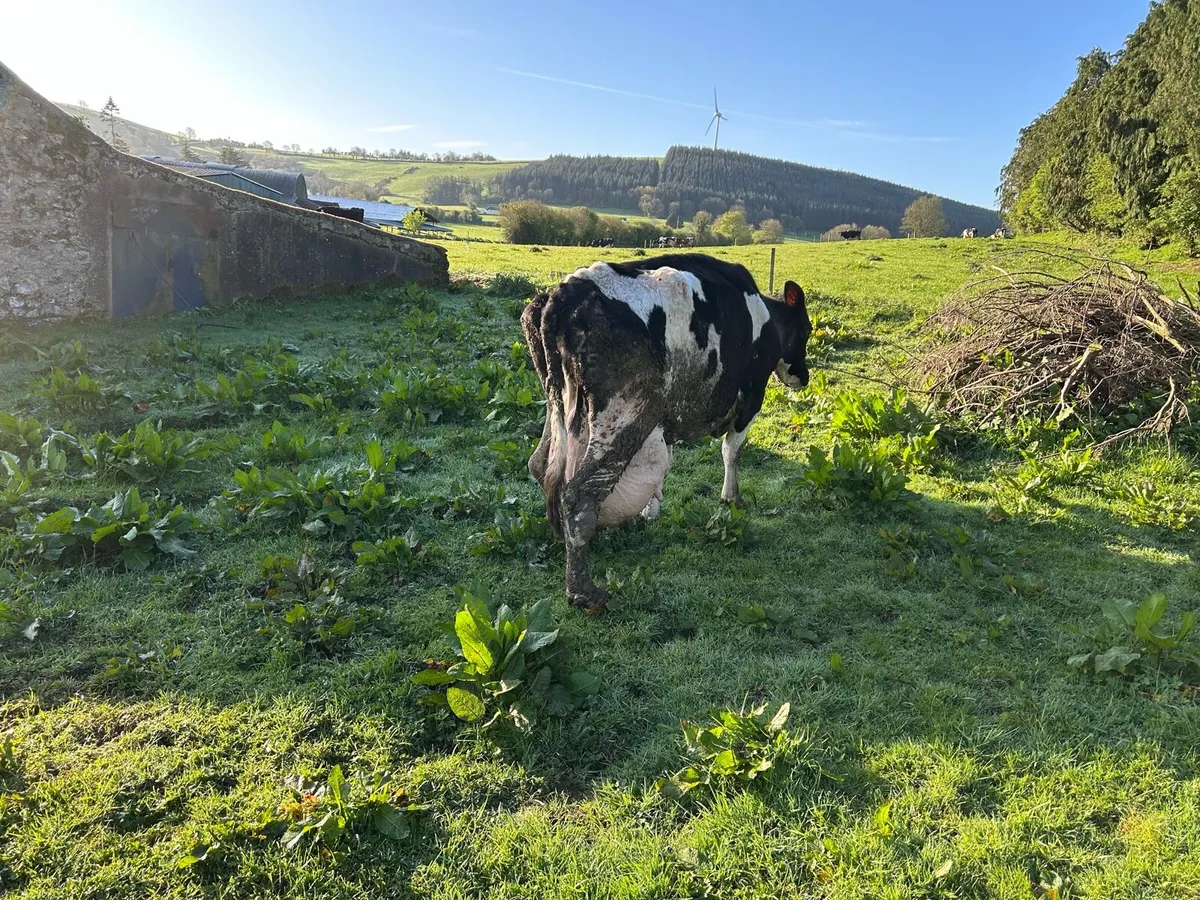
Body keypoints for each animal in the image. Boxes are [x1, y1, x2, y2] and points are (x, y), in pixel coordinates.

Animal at [521, 253, 812, 611]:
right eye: (807, 329)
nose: (804, 376)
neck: (766, 316)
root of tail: (564, 295)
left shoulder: (669, 418)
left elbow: (666, 465)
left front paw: (651, 512)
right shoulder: (752, 393)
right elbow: (732, 451)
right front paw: (732, 498)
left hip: (559, 407)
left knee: (540, 465)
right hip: (624, 417)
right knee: (579, 494)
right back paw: (583, 591)